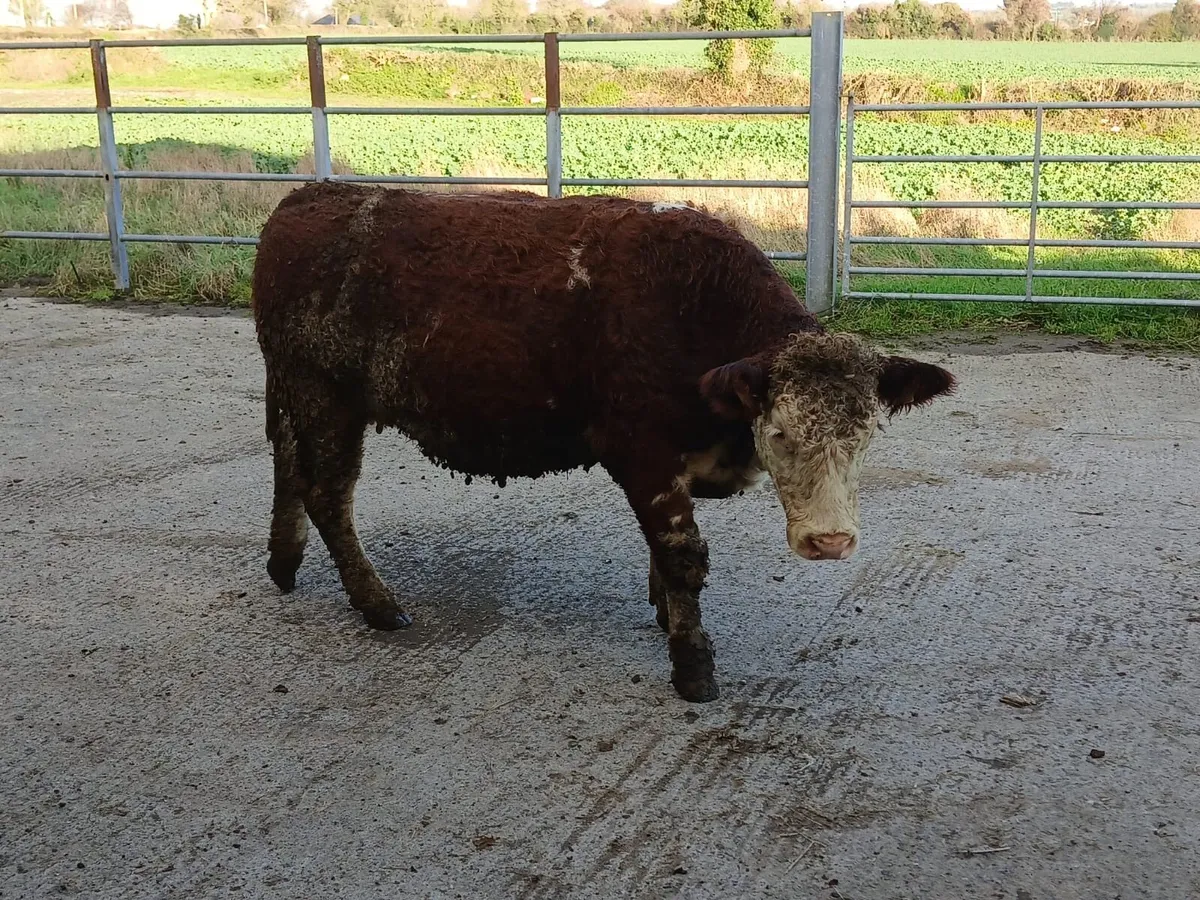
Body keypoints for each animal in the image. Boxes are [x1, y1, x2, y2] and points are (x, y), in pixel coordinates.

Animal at [250, 183, 955, 703]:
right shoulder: (641, 452)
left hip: (296, 395)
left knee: (288, 468)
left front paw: (666, 615)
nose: (831, 541)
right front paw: (692, 664)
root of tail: (309, 197)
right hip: (325, 397)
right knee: (328, 494)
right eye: (779, 433)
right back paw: (377, 604)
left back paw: (285, 563)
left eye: (865, 434)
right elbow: (682, 555)